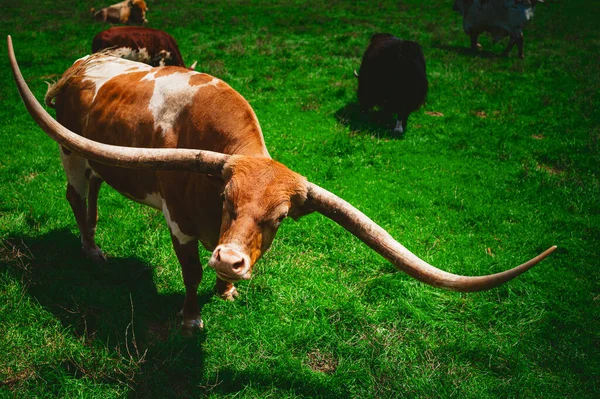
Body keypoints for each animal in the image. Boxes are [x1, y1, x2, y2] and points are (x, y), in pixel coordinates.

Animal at [7, 36, 556, 338]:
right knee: (78, 198)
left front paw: (227, 288)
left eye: (278, 219)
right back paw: (91, 250)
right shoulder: (180, 224)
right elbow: (190, 274)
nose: (230, 260)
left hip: (96, 159)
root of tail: (80, 65)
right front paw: (192, 316)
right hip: (72, 153)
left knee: (95, 193)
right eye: (227, 199)